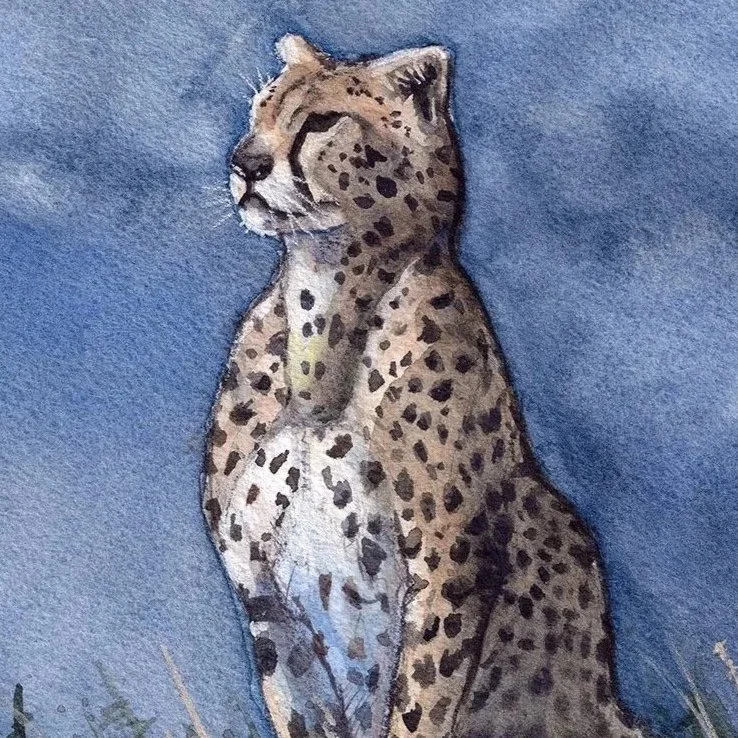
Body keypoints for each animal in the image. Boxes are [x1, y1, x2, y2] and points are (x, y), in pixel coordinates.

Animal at [202, 33, 647, 738]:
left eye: (322, 121)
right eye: (260, 111)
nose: (246, 162)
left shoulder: (448, 572)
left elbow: (420, 706)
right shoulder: (265, 600)